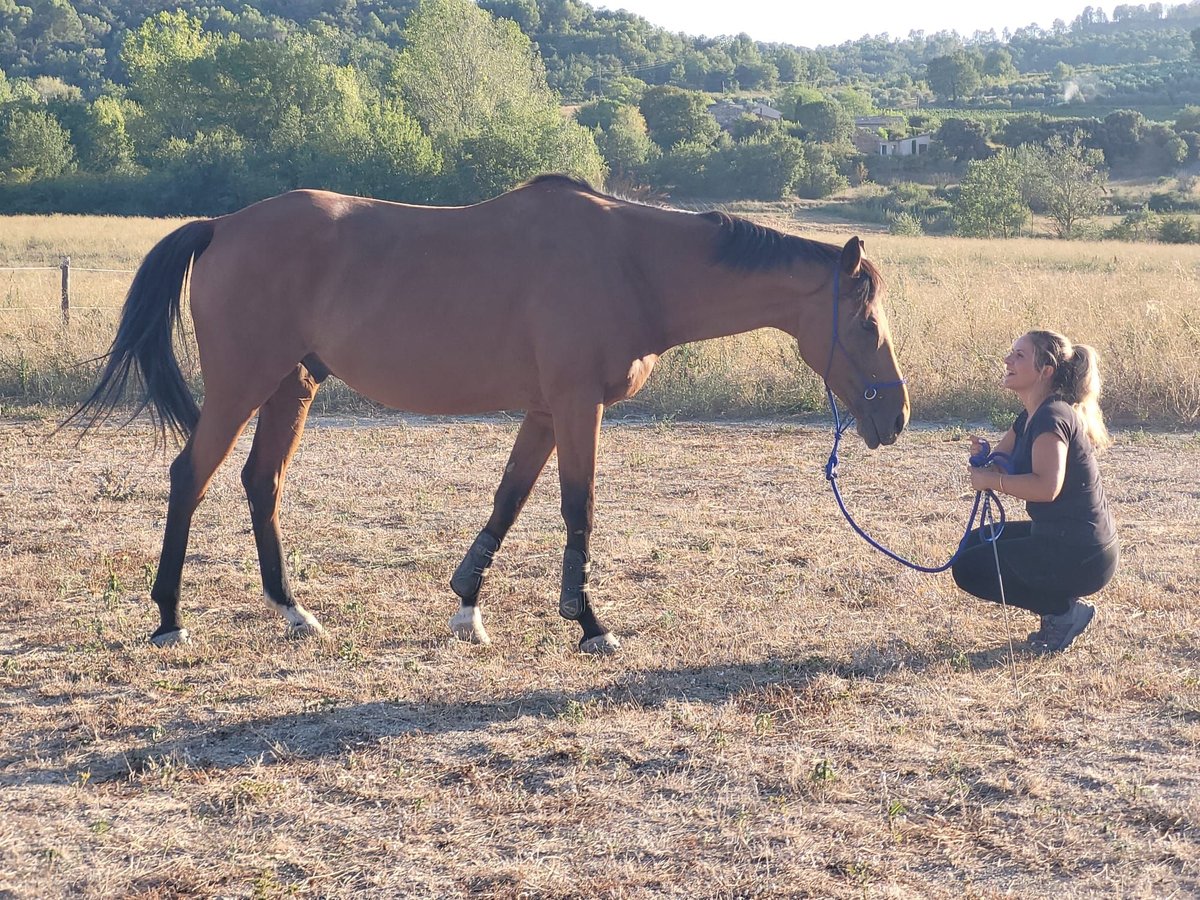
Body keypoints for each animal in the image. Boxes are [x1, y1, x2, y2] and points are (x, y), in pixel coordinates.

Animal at [70, 174, 902, 657]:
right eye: (866, 323)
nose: (893, 415)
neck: (630, 263)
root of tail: (221, 224)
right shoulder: (576, 406)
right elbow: (576, 509)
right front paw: (589, 621)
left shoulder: (545, 410)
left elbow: (509, 500)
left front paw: (467, 605)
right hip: (244, 383)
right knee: (191, 475)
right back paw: (169, 616)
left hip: (289, 387)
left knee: (259, 483)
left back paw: (293, 611)